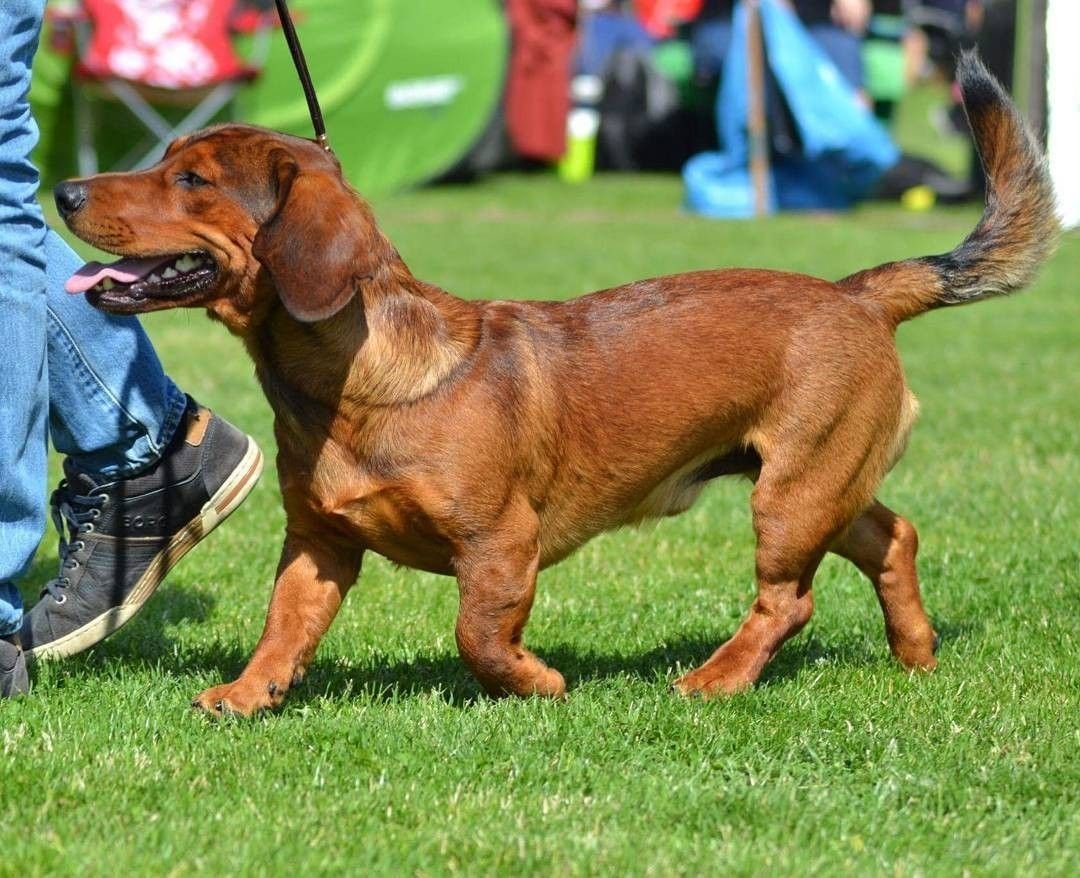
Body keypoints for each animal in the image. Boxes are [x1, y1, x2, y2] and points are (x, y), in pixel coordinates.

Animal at [52, 53, 1054, 712]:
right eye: (165, 158)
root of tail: (857, 293)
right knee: (894, 537)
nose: (62, 191)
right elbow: (284, 625)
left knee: (789, 600)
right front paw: (248, 693)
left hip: (792, 493)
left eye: (192, 179)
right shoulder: (318, 542)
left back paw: (717, 678)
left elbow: (479, 636)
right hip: (826, 484)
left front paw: (538, 683)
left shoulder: (501, 544)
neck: (354, 380)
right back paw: (915, 655)